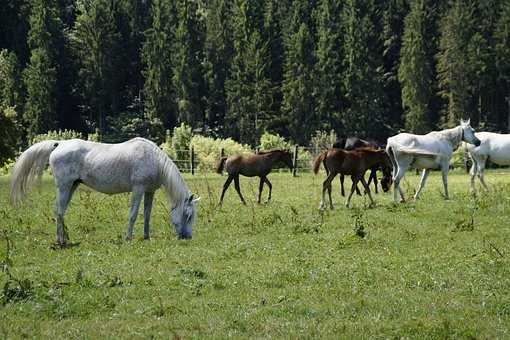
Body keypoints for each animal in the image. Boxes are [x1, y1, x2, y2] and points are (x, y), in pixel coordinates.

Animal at [9, 137, 199, 246]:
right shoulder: (138, 189)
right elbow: (133, 214)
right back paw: (61, 241)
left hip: (71, 186)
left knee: (60, 211)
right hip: (64, 186)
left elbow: (146, 215)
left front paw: (146, 237)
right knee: (59, 211)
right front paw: (128, 238)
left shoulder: (149, 191)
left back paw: (65, 238)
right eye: (188, 215)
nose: (187, 237)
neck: (152, 159)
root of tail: (59, 144)